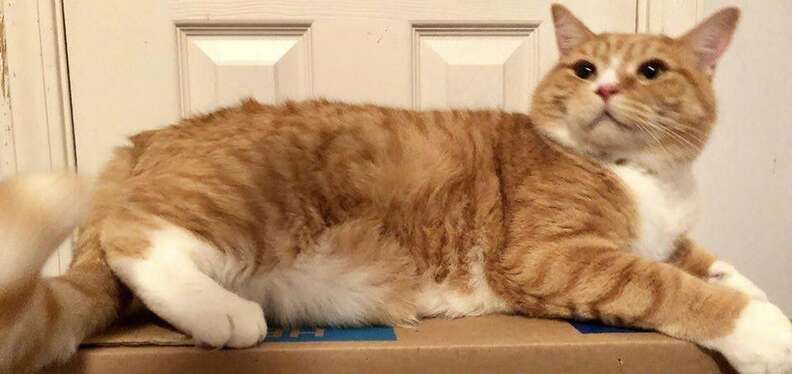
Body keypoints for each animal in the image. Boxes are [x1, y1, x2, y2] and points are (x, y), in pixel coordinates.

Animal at [1, 3, 792, 374]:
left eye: (651, 71)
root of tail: (141, 140)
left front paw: (764, 299)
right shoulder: (551, 256)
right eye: (582, 67)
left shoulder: (668, 235)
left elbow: (710, 262)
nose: (603, 88)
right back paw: (223, 315)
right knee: (136, 238)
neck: (648, 176)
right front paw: (763, 332)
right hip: (250, 208)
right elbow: (671, 286)